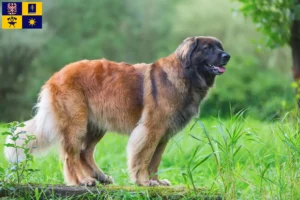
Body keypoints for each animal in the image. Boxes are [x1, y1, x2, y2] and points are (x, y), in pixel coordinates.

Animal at [4, 36, 230, 187]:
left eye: (220, 47)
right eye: (207, 48)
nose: (227, 56)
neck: (186, 75)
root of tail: (56, 75)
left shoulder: (163, 135)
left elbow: (155, 161)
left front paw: (156, 181)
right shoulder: (151, 130)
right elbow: (144, 157)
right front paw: (144, 181)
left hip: (95, 126)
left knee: (85, 152)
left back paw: (100, 176)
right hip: (76, 123)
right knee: (71, 156)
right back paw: (84, 180)